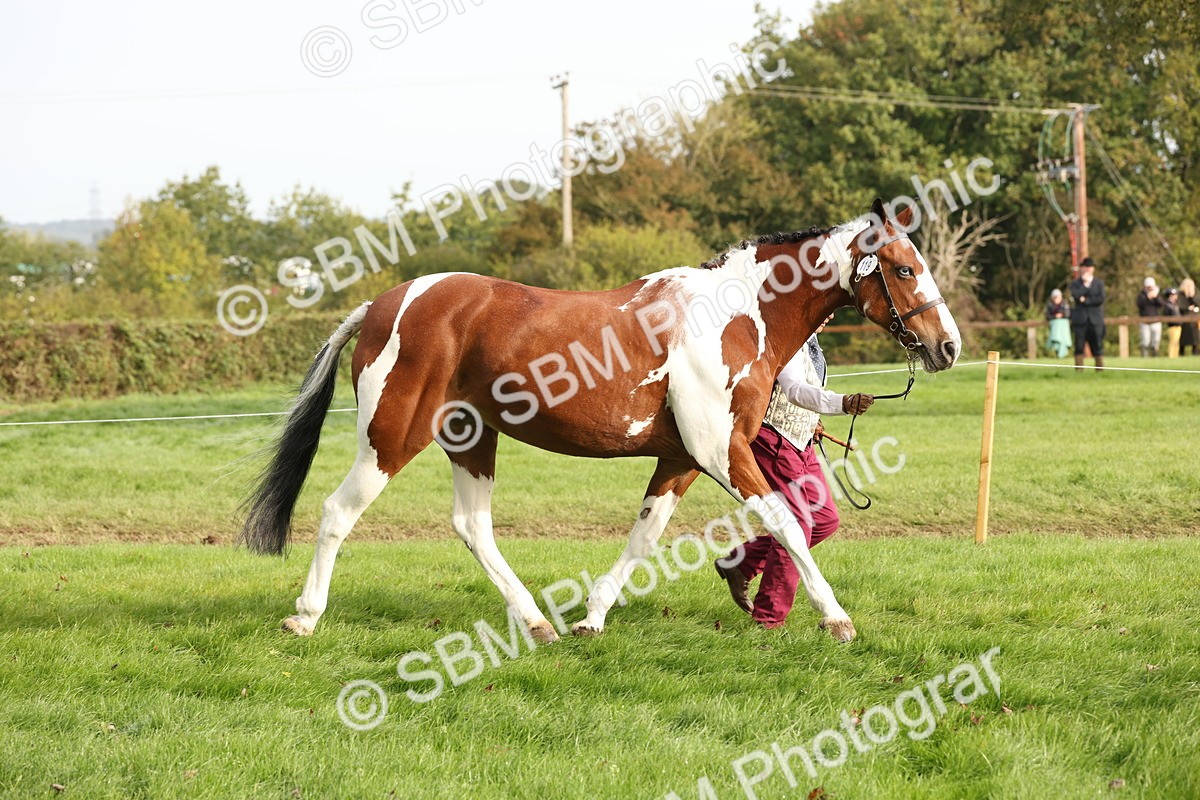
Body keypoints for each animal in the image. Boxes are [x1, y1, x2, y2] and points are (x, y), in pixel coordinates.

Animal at [240, 199, 961, 644]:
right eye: (904, 268)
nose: (946, 347)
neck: (735, 316)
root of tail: (383, 304)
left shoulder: (680, 460)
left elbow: (644, 537)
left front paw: (592, 618)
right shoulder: (721, 451)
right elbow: (786, 522)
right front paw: (837, 619)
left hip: (471, 440)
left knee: (472, 527)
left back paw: (538, 624)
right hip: (390, 438)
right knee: (337, 511)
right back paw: (304, 617)